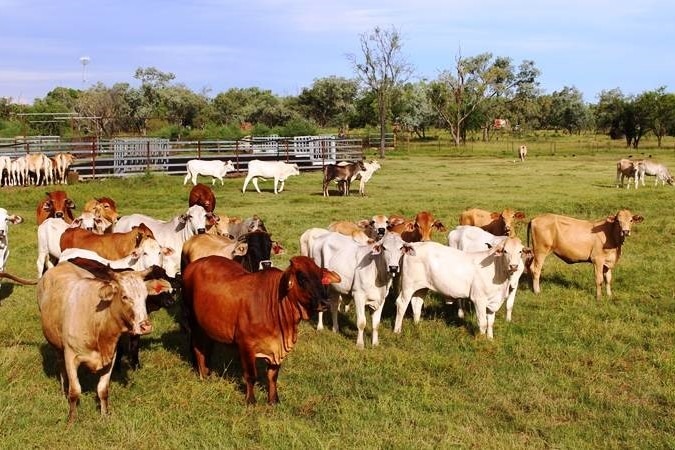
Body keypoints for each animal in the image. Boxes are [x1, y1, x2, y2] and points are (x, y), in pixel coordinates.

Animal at [182, 255, 340, 406]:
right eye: (302, 278)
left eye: (321, 276)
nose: (325, 303)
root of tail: (194, 264)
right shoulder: (246, 345)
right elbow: (251, 376)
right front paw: (251, 401)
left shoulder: (277, 349)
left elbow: (272, 376)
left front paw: (274, 400)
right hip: (193, 321)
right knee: (198, 348)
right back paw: (203, 376)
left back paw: (208, 372)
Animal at [394, 239, 532, 338]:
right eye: (505, 251)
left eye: (520, 251)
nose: (514, 266)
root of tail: (413, 245)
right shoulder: (479, 299)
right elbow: (482, 322)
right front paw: (481, 340)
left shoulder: (493, 300)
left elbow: (490, 322)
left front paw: (490, 338)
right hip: (407, 285)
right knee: (401, 303)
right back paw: (397, 330)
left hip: (421, 287)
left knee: (416, 303)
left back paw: (417, 325)